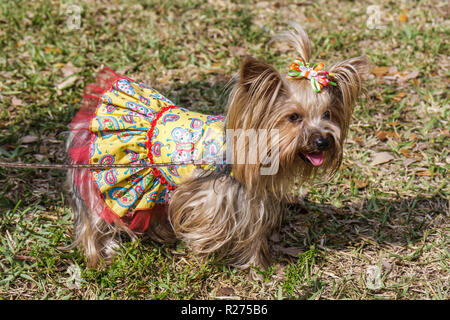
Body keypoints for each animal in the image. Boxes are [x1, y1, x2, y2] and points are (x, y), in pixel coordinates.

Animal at [67, 25, 370, 268]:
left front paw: (257, 265)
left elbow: (252, 232)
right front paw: (204, 251)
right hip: (108, 177)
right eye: (294, 117)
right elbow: (208, 224)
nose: (323, 141)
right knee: (92, 220)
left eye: (328, 114)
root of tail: (90, 116)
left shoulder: (253, 198)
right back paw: (98, 256)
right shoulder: (208, 194)